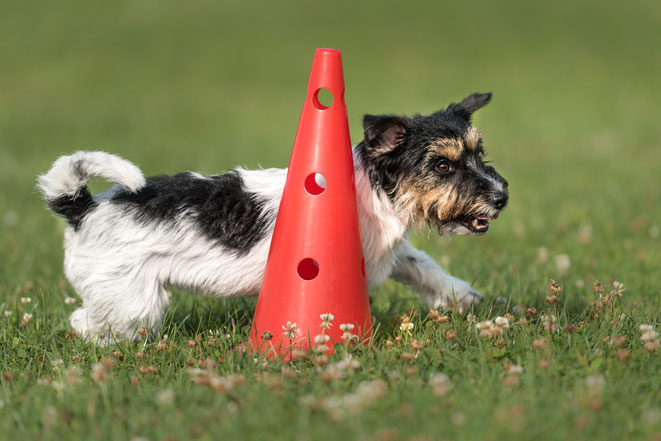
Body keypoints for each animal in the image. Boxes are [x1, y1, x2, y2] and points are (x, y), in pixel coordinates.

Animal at [38, 91, 508, 342]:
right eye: (442, 165)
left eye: (479, 153)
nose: (501, 196)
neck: (372, 189)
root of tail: (84, 206)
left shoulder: (389, 254)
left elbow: (422, 266)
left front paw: (461, 296)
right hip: (133, 302)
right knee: (85, 322)